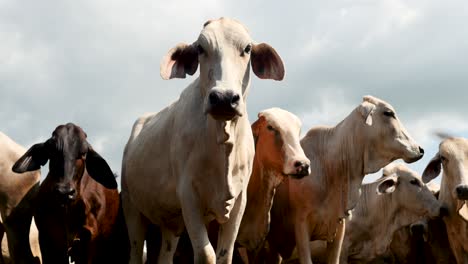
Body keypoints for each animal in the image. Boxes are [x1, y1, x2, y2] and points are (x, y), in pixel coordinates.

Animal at [120, 17, 286, 262]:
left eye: (247, 48)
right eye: (200, 48)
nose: (224, 98)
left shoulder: (239, 201)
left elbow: (225, 254)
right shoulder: (188, 196)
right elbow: (206, 254)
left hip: (170, 225)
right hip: (132, 209)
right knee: (135, 251)